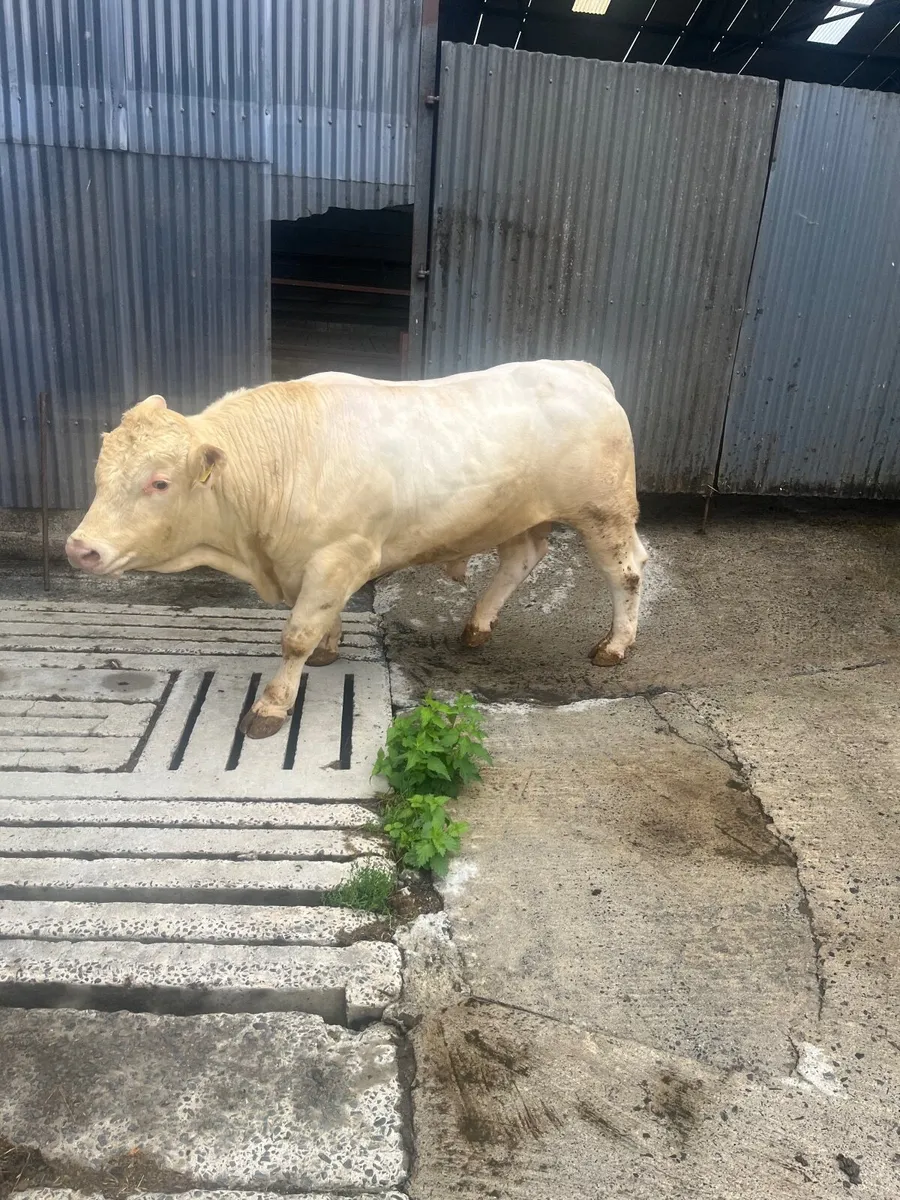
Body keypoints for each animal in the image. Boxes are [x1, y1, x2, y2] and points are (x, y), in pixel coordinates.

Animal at [66, 361, 648, 739]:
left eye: (159, 483)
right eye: (98, 475)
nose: (79, 548)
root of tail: (581, 369)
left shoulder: (339, 554)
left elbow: (295, 635)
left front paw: (273, 705)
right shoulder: (316, 564)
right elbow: (323, 617)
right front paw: (329, 647)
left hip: (605, 511)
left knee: (627, 571)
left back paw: (615, 645)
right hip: (513, 513)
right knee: (520, 559)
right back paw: (477, 626)